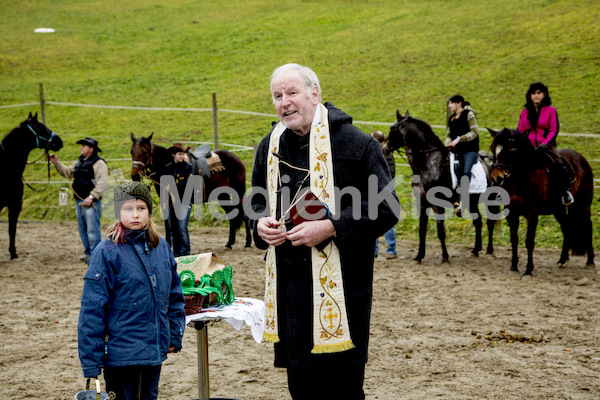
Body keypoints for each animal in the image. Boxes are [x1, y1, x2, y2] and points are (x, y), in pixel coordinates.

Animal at [384, 111, 502, 264]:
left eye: (392, 129)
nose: (384, 147)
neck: (427, 161)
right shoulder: (422, 204)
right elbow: (422, 230)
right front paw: (419, 256)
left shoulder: (437, 204)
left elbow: (441, 231)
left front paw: (445, 256)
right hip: (472, 202)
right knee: (478, 222)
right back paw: (476, 250)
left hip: (490, 200)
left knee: (489, 222)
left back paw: (489, 250)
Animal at [490, 128, 592, 276]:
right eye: (492, 148)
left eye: (510, 149)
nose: (497, 178)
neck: (522, 179)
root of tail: (581, 158)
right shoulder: (512, 213)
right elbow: (514, 239)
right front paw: (514, 266)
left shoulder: (532, 213)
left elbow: (529, 241)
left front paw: (528, 269)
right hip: (558, 209)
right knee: (566, 226)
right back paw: (562, 260)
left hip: (584, 204)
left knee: (588, 226)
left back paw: (590, 261)